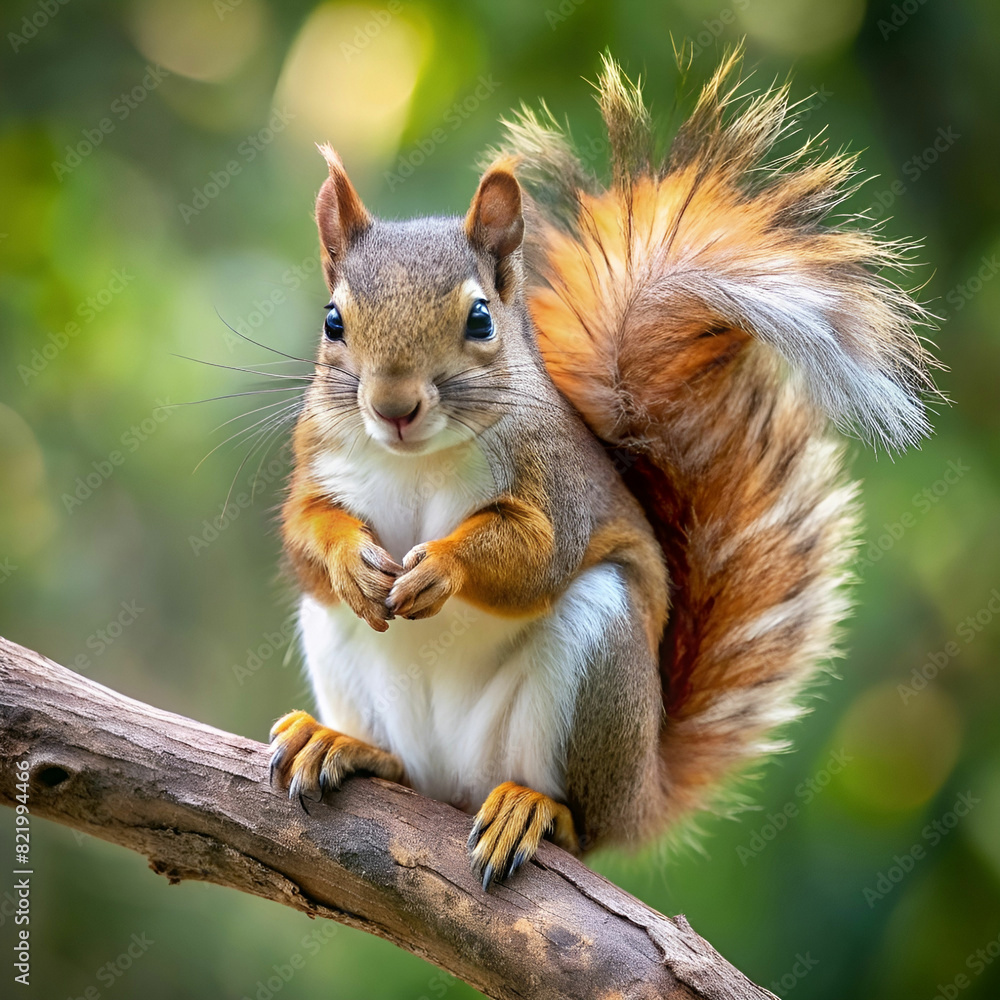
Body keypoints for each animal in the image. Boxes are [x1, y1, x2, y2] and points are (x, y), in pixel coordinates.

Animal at [268, 51, 938, 889]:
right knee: (398, 756)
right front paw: (350, 557)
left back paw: (533, 808)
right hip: (331, 637)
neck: (418, 461)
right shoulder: (318, 459)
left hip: (598, 655)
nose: (392, 406)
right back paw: (345, 744)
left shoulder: (557, 485)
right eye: (333, 320)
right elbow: (302, 531)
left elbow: (534, 556)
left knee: (576, 821)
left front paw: (443, 568)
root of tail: (643, 786)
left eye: (480, 319)